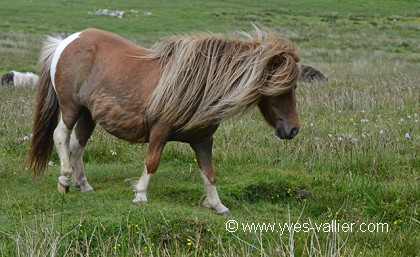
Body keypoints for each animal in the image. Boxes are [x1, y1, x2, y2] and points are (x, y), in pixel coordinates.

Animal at [27, 27, 302, 213]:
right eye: (284, 89)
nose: (293, 130)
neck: (200, 86)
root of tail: (66, 42)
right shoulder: (160, 130)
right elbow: (152, 162)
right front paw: (140, 195)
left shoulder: (203, 140)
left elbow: (209, 173)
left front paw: (218, 205)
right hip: (71, 107)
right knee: (61, 136)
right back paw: (64, 180)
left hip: (88, 114)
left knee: (77, 146)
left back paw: (83, 185)